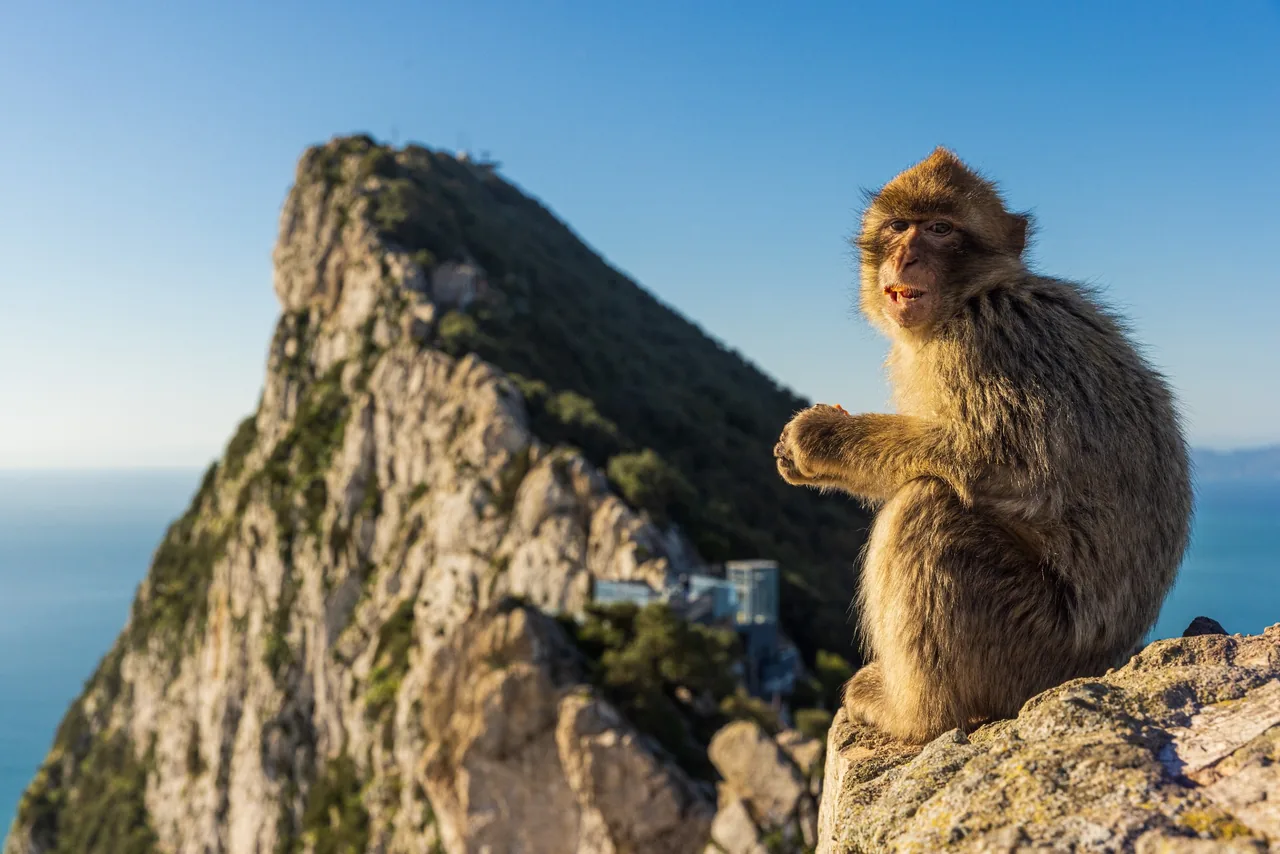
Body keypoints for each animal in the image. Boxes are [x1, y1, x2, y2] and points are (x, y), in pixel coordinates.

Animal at [773, 148, 1192, 744]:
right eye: (899, 226)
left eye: (940, 229)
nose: (905, 256)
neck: (967, 299)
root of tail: (1104, 661)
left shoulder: (985, 342)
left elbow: (1006, 462)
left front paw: (817, 440)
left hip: (1029, 642)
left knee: (929, 505)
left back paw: (914, 714)